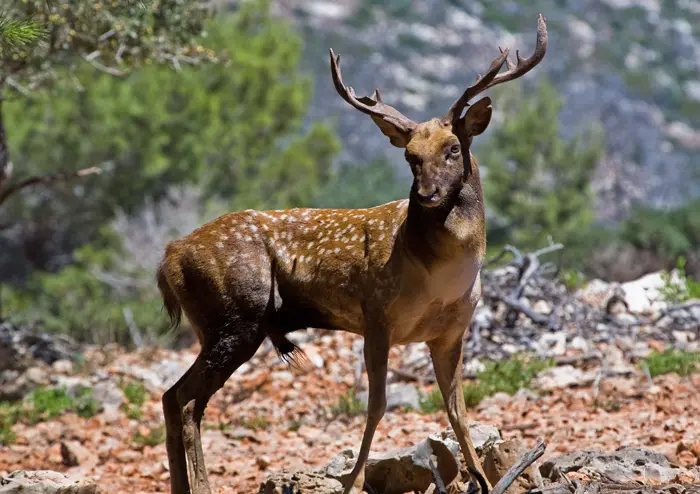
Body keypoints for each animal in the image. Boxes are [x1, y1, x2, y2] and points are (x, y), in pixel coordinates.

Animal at [157, 14, 548, 494]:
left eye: (454, 148)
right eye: (410, 156)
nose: (426, 195)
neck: (442, 278)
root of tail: (169, 258)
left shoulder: (451, 331)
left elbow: (456, 409)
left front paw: (483, 479)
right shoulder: (376, 315)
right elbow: (377, 404)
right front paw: (354, 479)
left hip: (222, 325)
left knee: (172, 397)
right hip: (233, 318)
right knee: (187, 400)